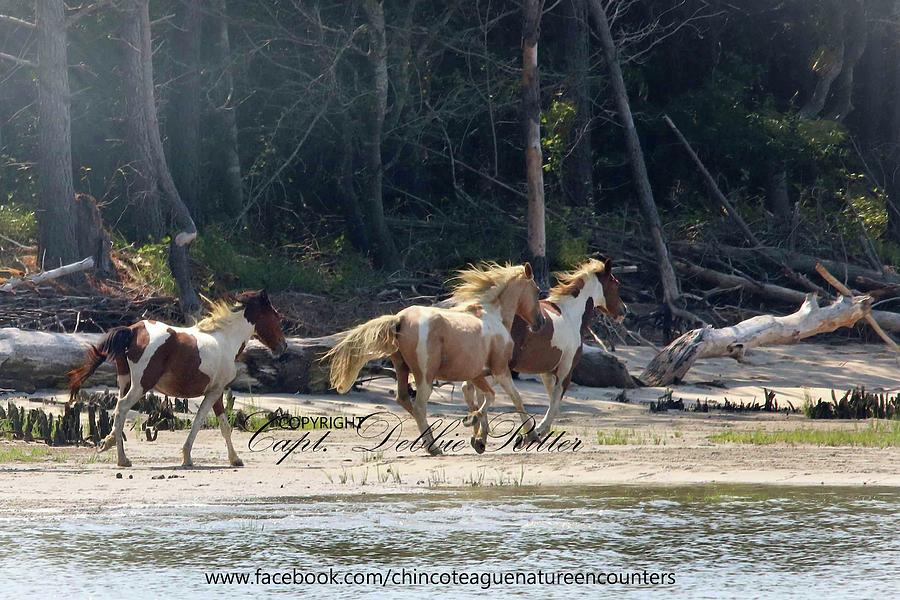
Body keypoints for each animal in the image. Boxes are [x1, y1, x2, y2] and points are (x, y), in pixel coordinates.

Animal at [67, 290, 284, 468]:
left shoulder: (215, 392)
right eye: (276, 316)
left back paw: (119, 454)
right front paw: (194, 458)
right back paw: (116, 452)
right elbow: (207, 424)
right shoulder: (215, 391)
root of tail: (133, 330)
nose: (283, 346)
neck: (226, 339)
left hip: (125, 382)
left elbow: (218, 424)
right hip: (141, 385)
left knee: (119, 411)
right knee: (122, 408)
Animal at [326, 262, 544, 454]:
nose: (540, 323)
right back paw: (433, 448)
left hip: (402, 369)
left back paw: (431, 442)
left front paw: (479, 439)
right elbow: (513, 399)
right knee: (419, 406)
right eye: (537, 291)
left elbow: (479, 397)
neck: (493, 316)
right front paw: (530, 436)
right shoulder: (500, 370)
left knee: (405, 400)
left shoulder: (476, 375)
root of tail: (400, 319)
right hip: (425, 376)